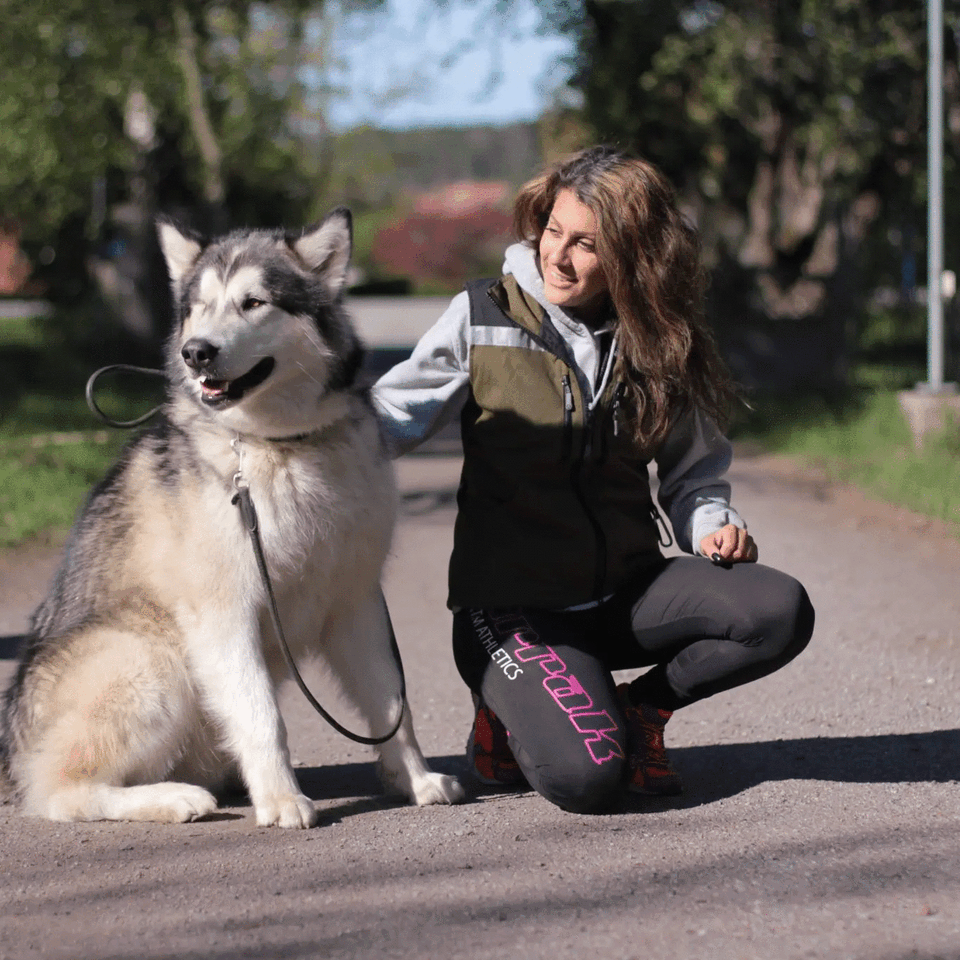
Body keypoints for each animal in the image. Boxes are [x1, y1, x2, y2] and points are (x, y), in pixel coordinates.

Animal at [0, 208, 464, 824]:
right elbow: (264, 717)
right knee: (62, 792)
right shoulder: (225, 612)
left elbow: (393, 704)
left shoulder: (356, 599)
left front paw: (414, 779)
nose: (196, 352)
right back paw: (174, 798)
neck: (282, 445)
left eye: (253, 302)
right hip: (152, 657)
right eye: (199, 306)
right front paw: (283, 799)